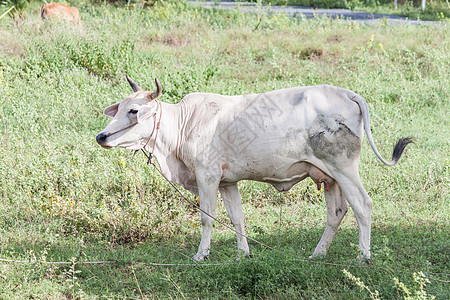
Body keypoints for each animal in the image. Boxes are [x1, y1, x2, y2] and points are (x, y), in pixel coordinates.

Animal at [96, 77, 412, 262]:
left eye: (134, 111)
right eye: (120, 108)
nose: (102, 136)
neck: (184, 125)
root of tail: (348, 94)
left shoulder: (207, 176)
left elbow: (207, 219)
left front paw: (201, 254)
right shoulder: (227, 182)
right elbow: (236, 218)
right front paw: (243, 254)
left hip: (344, 168)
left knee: (362, 206)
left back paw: (363, 256)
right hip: (329, 176)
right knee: (337, 212)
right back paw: (317, 254)